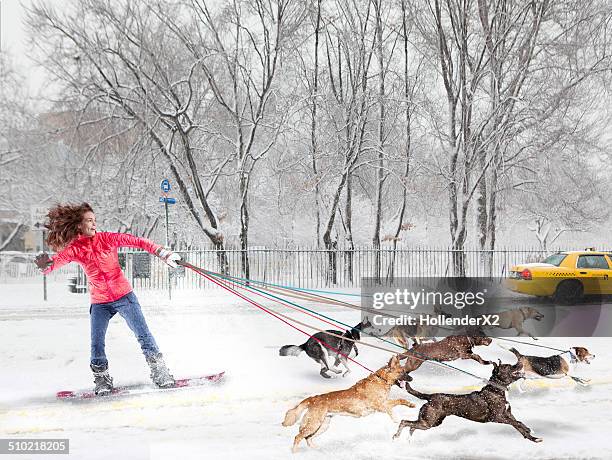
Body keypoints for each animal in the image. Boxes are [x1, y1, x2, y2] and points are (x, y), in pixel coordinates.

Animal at [282, 356, 416, 452]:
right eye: (402, 372)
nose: (412, 379)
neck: (381, 379)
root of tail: (313, 399)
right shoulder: (381, 404)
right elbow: (397, 402)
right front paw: (398, 415)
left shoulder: (383, 404)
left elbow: (396, 403)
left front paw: (406, 407)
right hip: (314, 424)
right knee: (298, 437)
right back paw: (294, 453)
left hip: (323, 425)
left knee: (308, 438)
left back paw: (316, 450)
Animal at [392, 362, 540, 442]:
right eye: (509, 366)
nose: (521, 363)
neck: (496, 389)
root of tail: (430, 396)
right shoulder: (498, 417)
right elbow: (518, 423)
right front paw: (529, 429)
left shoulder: (507, 414)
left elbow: (518, 424)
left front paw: (533, 438)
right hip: (428, 422)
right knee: (404, 422)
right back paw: (396, 436)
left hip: (432, 422)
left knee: (412, 426)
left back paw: (408, 440)